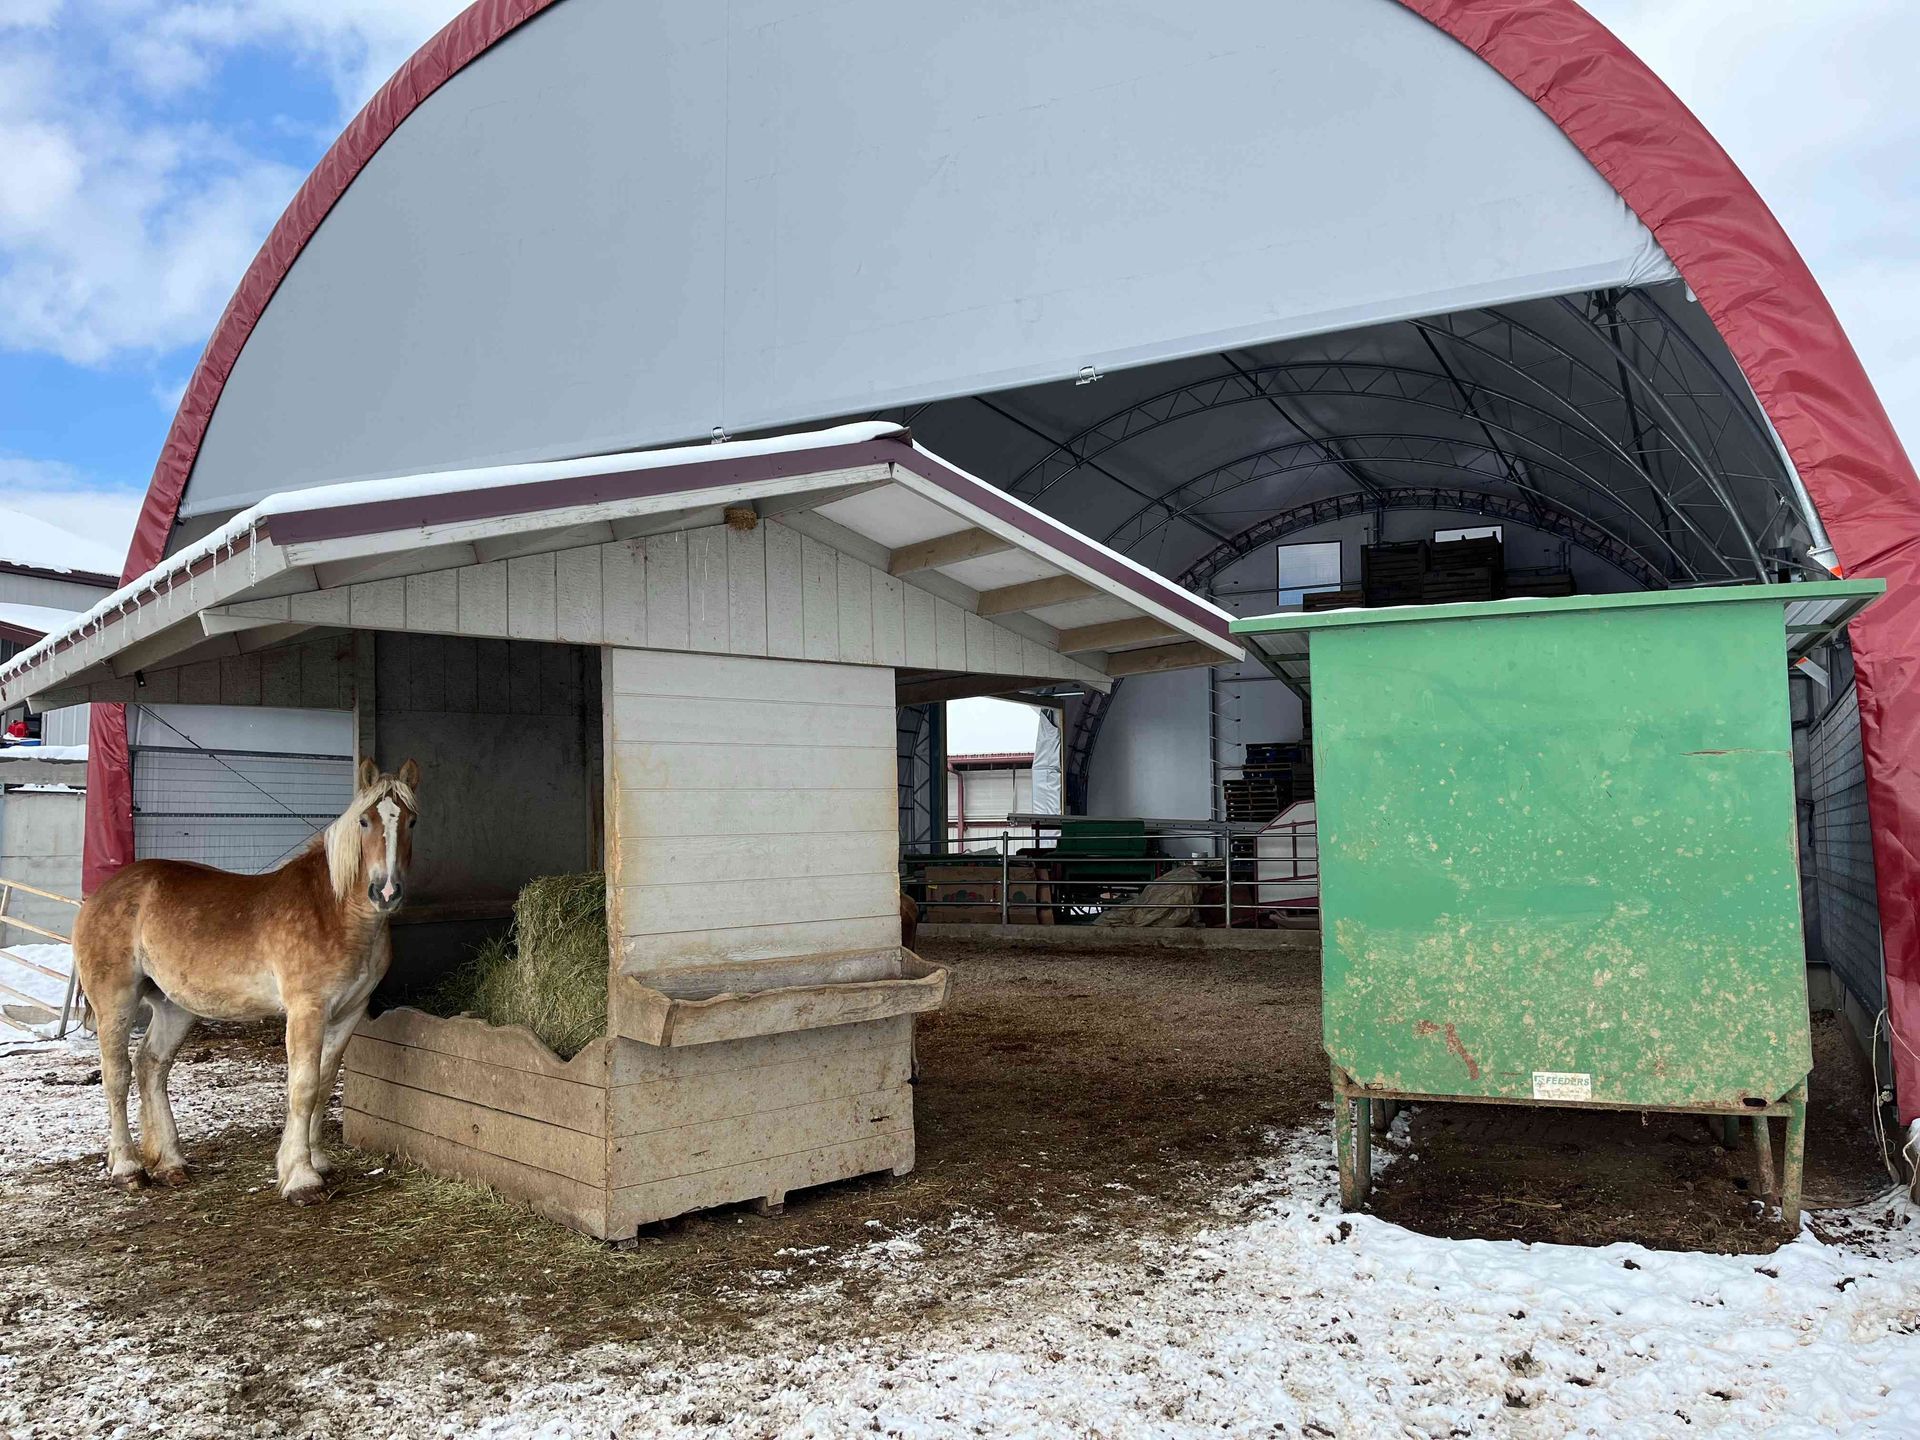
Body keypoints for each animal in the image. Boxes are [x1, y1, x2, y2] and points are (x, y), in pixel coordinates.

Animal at [73, 758, 421, 1206]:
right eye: (364, 820)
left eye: (411, 821)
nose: (387, 891)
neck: (335, 912)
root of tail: (100, 895)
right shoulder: (307, 1011)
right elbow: (304, 1087)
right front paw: (301, 1179)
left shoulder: (349, 1013)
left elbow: (325, 1083)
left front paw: (318, 1161)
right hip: (115, 999)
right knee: (116, 1075)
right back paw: (128, 1169)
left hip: (174, 1006)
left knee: (151, 1066)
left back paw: (171, 1164)